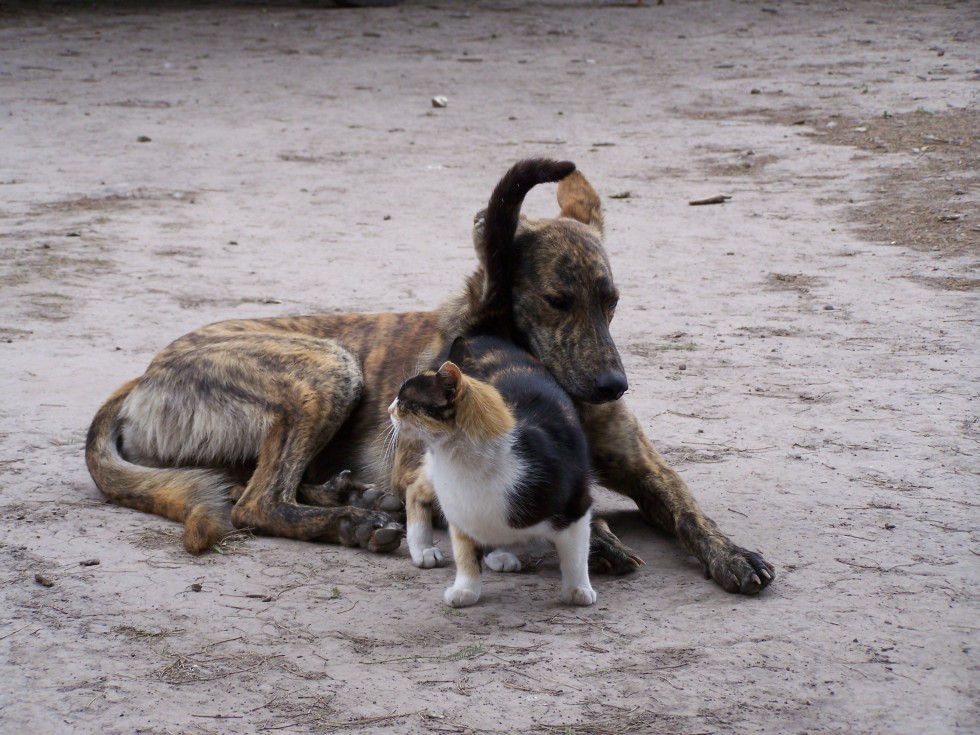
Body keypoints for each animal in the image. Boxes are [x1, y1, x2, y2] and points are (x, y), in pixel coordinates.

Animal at [390, 336, 596, 608]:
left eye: (403, 401)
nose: (389, 409)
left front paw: (578, 590)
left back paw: (498, 554)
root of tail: (480, 338)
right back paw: (423, 549)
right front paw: (465, 590)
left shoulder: (576, 504)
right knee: (415, 489)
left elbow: (576, 555)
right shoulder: (458, 512)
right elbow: (465, 554)